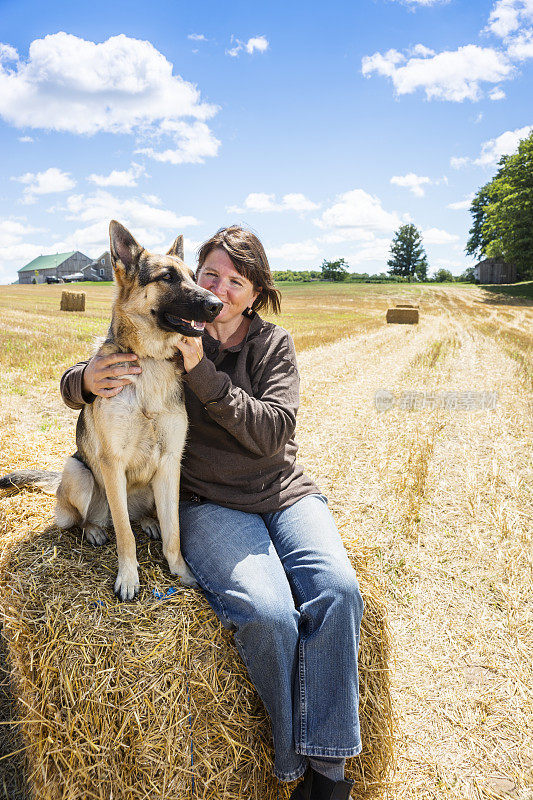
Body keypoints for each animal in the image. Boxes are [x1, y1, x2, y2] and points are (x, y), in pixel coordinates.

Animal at [0, 222, 222, 596]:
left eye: (194, 277)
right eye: (168, 277)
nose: (217, 305)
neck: (149, 361)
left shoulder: (170, 463)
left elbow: (174, 533)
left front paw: (181, 571)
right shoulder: (112, 463)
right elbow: (124, 535)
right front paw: (129, 577)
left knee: (141, 518)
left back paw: (148, 521)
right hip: (79, 472)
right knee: (84, 520)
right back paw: (93, 529)